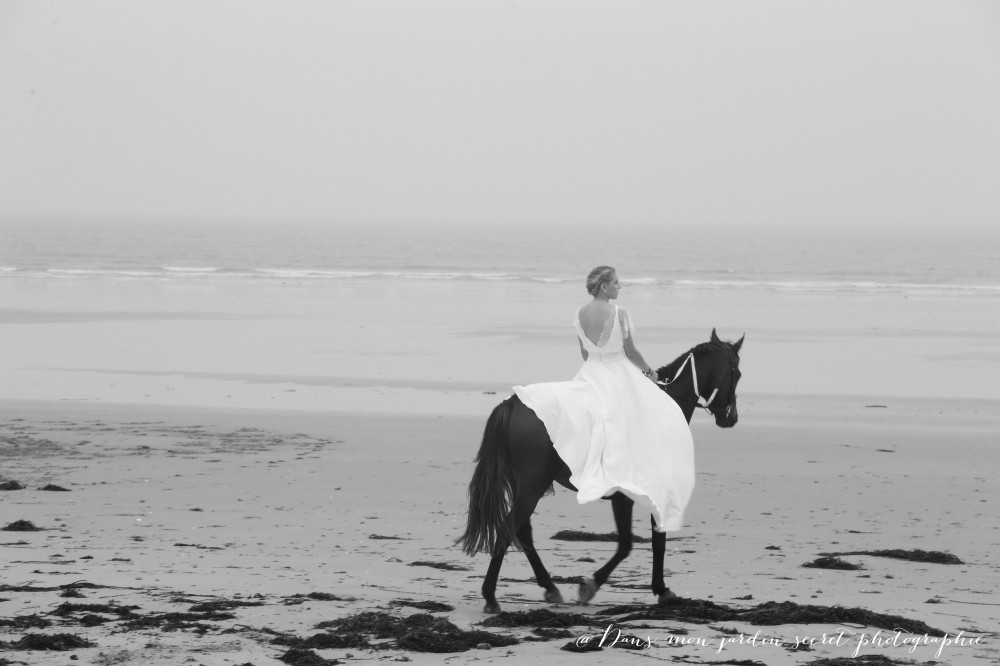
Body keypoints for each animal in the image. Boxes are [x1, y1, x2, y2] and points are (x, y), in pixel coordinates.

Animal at [458, 329, 744, 614]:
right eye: (737, 372)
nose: (732, 418)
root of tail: (513, 403)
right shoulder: (631, 495)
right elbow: (635, 543)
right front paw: (597, 585)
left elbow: (647, 541)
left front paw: (656, 588)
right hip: (531, 487)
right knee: (509, 529)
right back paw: (491, 597)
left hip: (525, 487)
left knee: (522, 532)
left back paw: (549, 588)